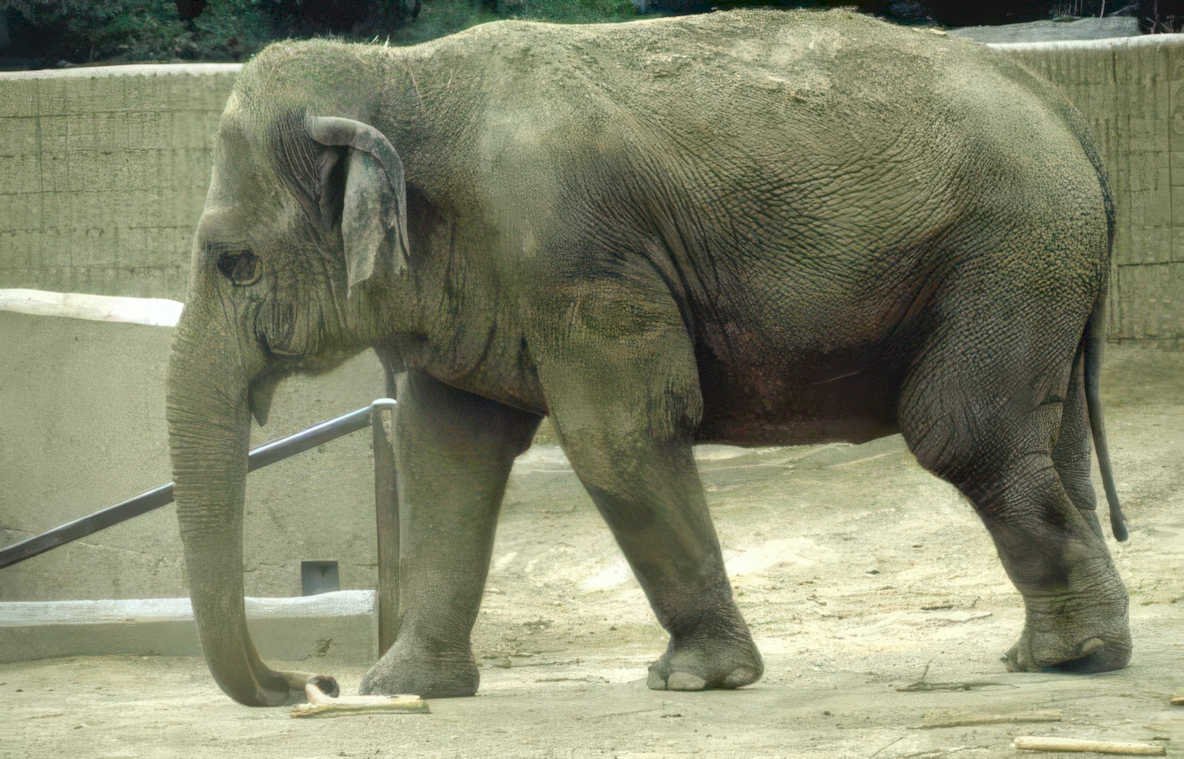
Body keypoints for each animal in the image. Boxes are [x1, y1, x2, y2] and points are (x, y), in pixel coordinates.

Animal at [167, 8, 1131, 706]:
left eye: (235, 262)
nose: (312, 682)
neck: (402, 75)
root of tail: (1065, 109)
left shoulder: (575, 257)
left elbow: (616, 437)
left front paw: (696, 680)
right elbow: (444, 455)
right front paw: (403, 690)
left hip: (1005, 257)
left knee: (964, 431)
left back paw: (1070, 654)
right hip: (1042, 274)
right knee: (1051, 441)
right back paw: (1063, 652)